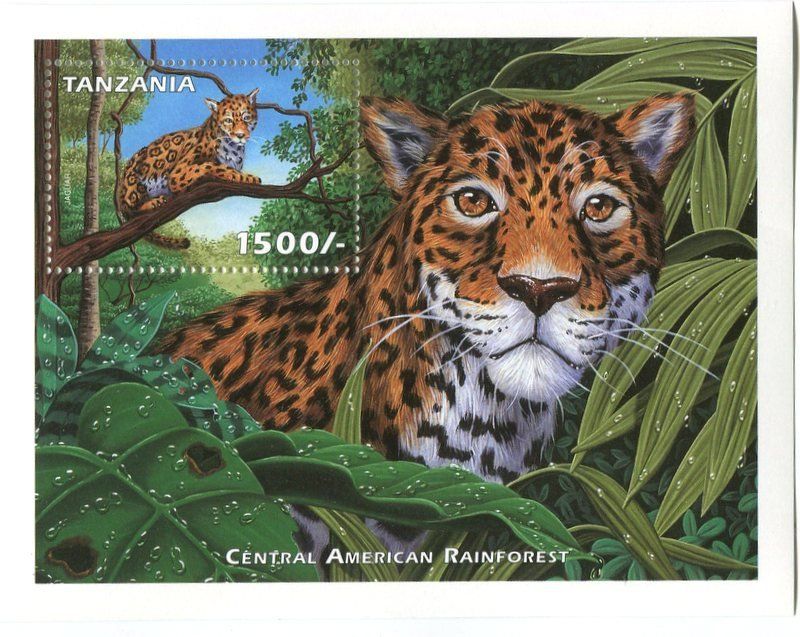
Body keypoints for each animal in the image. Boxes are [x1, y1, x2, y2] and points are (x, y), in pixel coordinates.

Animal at [118, 89, 262, 250]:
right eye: (228, 120)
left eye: (246, 117)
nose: (240, 135)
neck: (234, 148)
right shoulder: (177, 174)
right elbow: (212, 165)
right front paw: (248, 177)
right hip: (133, 183)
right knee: (131, 210)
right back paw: (153, 202)